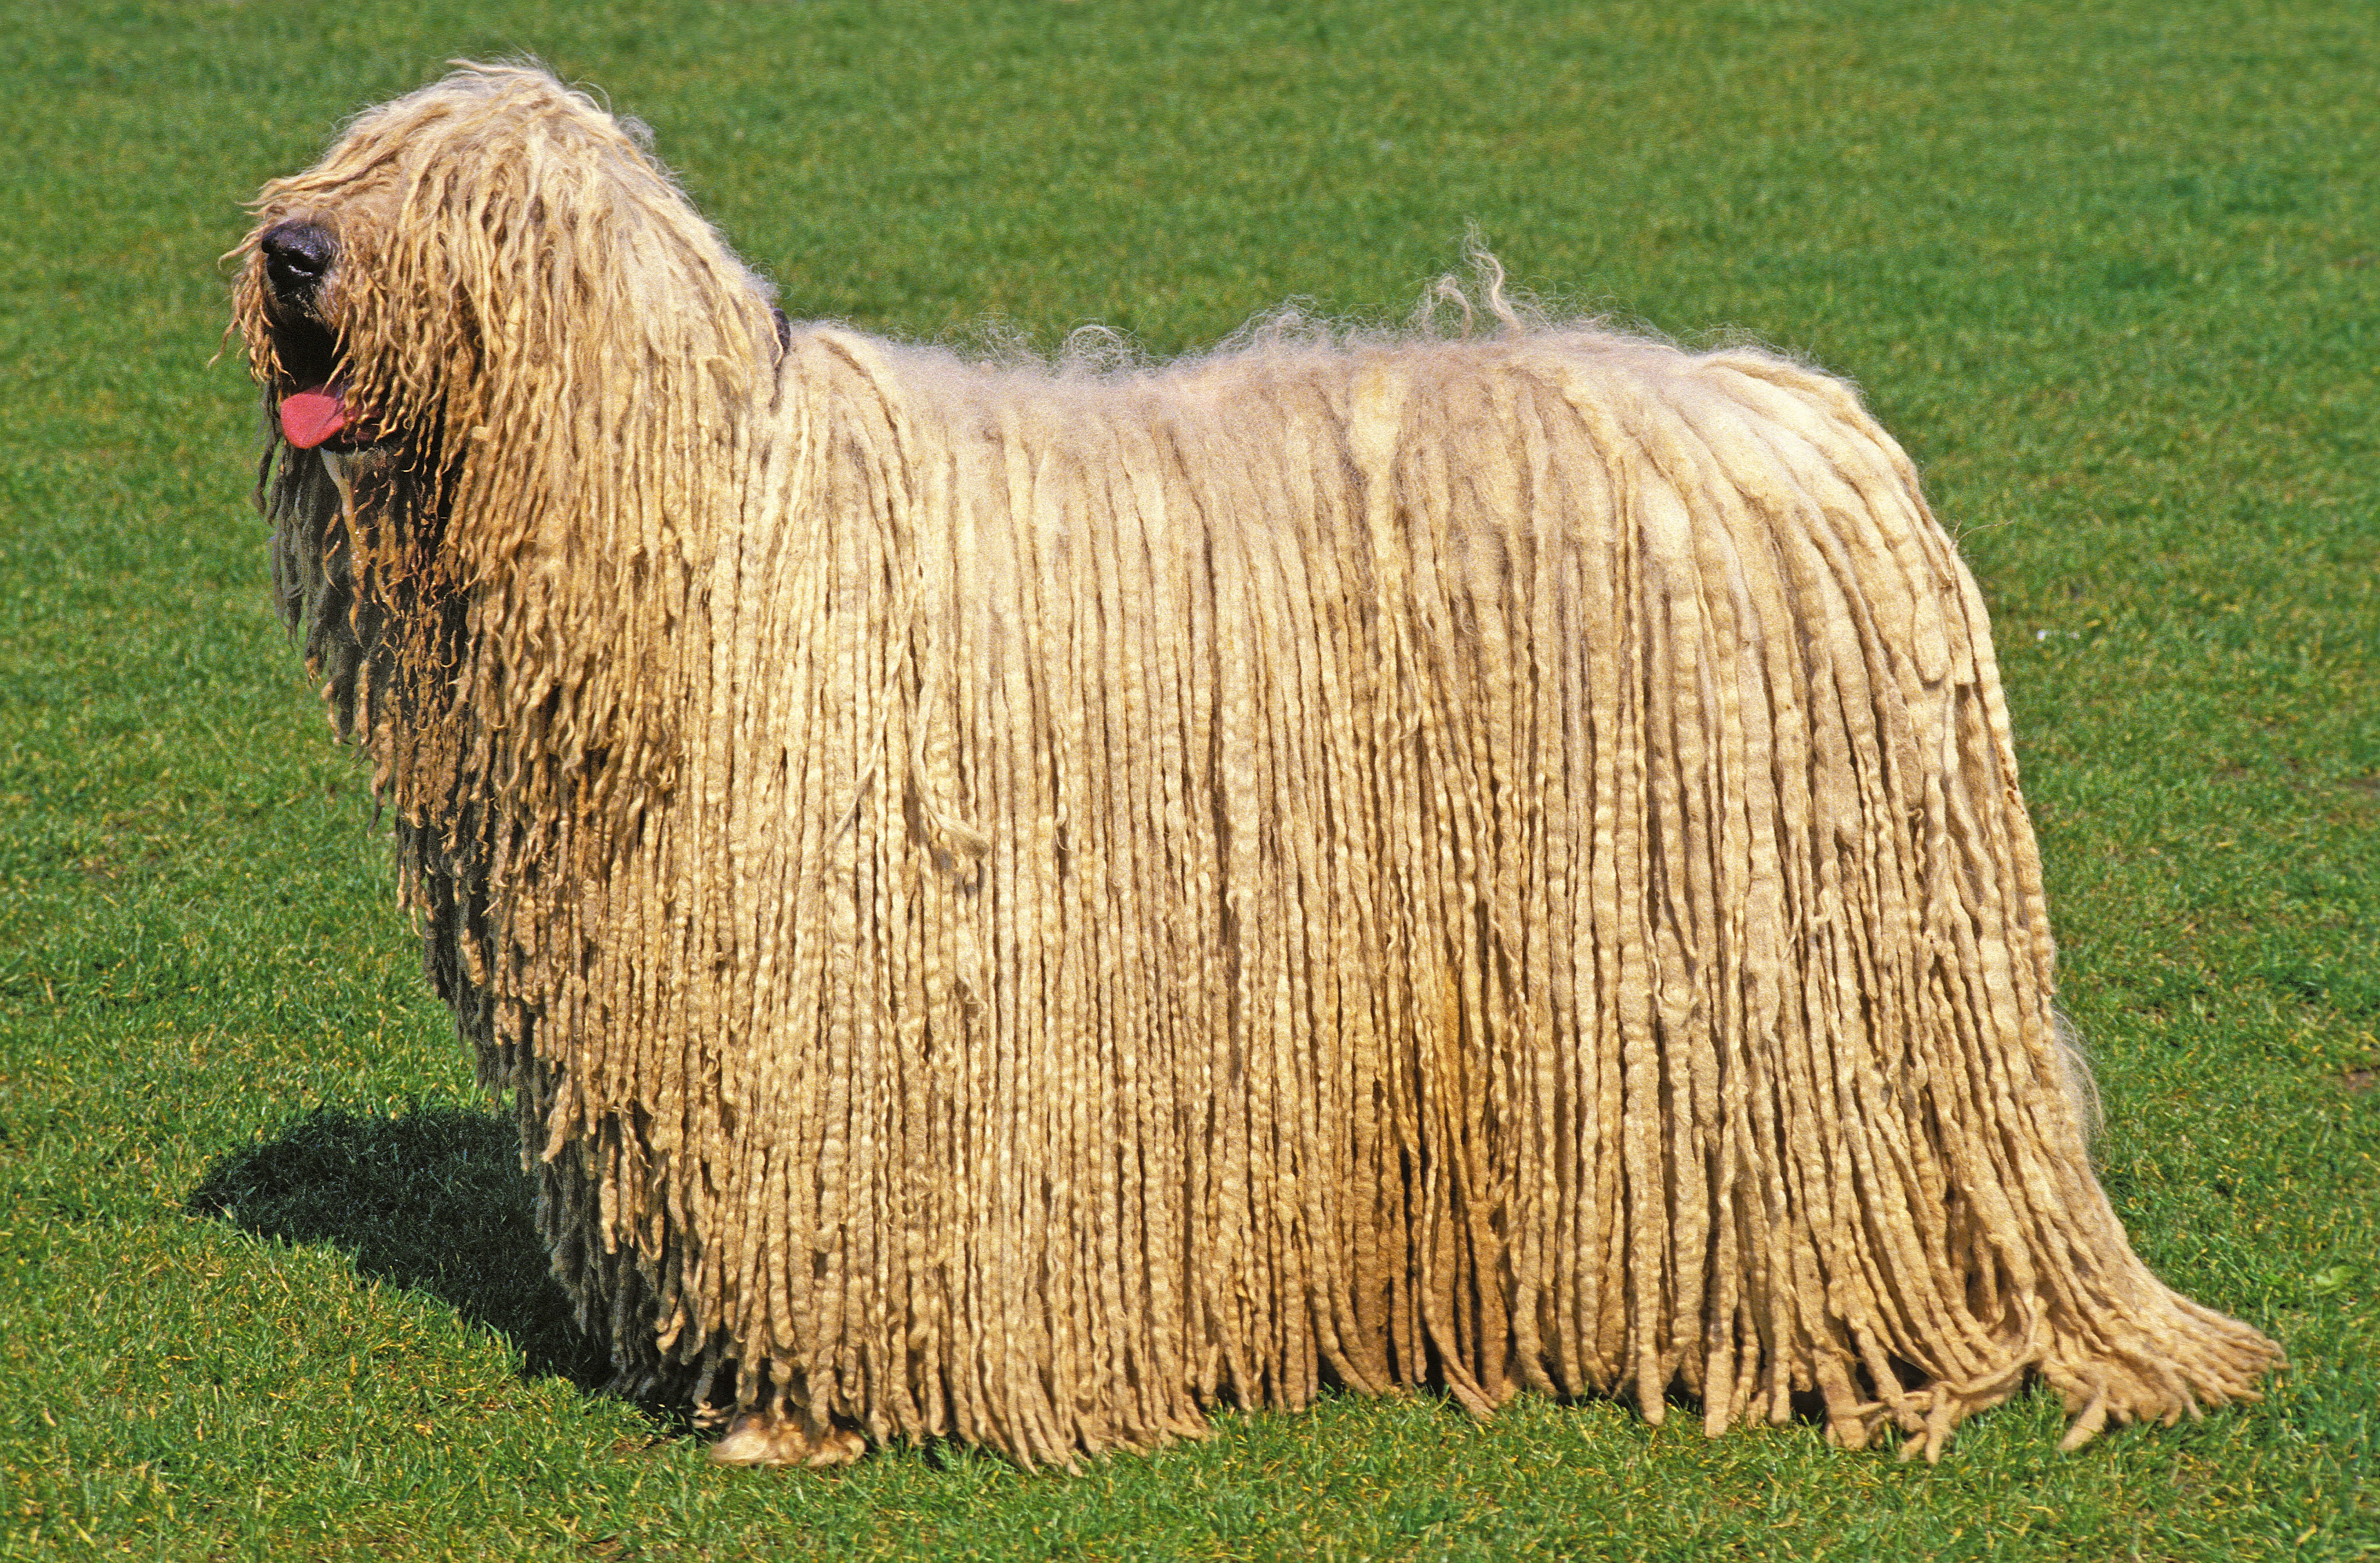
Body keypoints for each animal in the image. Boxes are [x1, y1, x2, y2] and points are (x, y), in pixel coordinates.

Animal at [232, 61, 2275, 1465]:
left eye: (469, 198)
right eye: (349, 158)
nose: (291, 246)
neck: (702, 553)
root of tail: (1821, 440)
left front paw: (807, 1417)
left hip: (1777, 1005)